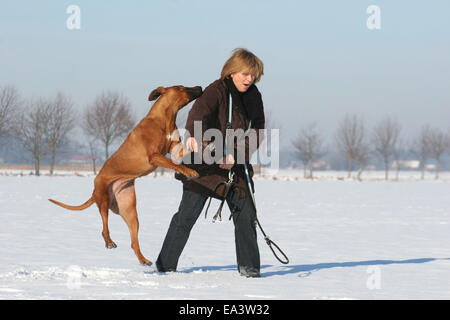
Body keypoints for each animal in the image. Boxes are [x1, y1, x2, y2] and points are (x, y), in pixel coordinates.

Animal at [49, 84, 202, 264]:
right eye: (182, 87)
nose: (200, 86)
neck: (165, 118)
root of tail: (94, 191)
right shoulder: (154, 156)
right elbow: (173, 164)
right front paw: (190, 171)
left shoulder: (175, 150)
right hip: (103, 200)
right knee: (104, 228)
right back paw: (109, 242)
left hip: (130, 210)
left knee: (133, 241)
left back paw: (143, 259)